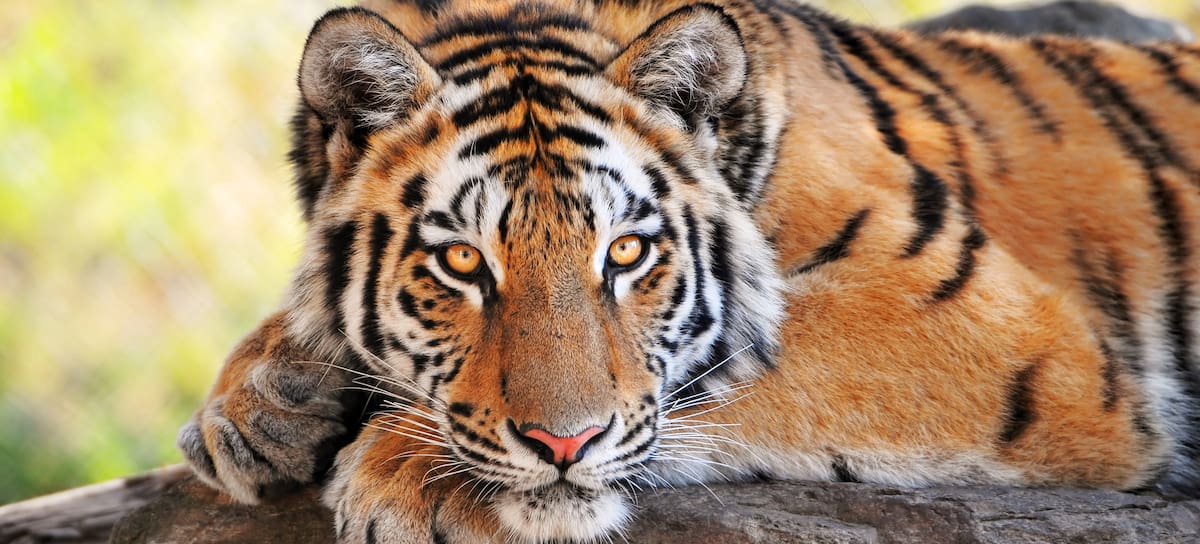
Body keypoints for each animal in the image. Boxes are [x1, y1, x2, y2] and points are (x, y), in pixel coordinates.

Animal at [175, 0, 1200, 542]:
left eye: (627, 252)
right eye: (463, 261)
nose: (562, 448)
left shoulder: (992, 325)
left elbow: (725, 372)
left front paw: (413, 474)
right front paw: (257, 405)